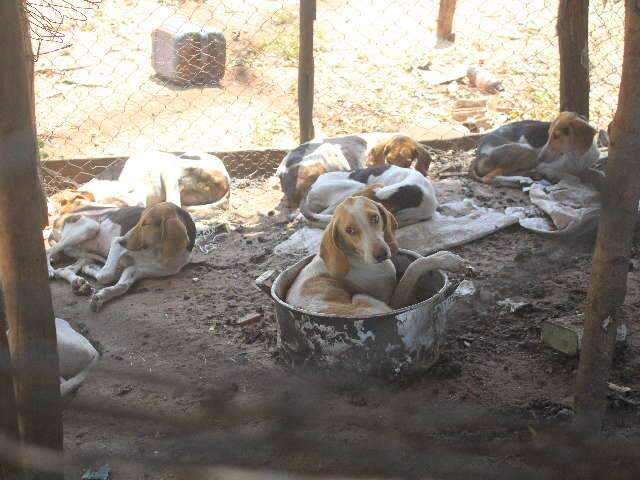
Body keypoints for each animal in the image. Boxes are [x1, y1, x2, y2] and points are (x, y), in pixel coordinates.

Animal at [47, 202, 195, 312]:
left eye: (146, 224)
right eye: (139, 220)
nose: (123, 240)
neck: (157, 251)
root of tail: (61, 215)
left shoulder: (136, 270)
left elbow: (122, 286)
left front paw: (101, 296)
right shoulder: (116, 245)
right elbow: (106, 275)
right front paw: (96, 272)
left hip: (86, 251)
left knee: (65, 269)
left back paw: (78, 282)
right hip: (90, 227)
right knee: (50, 251)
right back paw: (49, 270)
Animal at [284, 195, 470, 316]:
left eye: (375, 218)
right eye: (349, 230)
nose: (381, 254)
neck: (353, 256)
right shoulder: (394, 302)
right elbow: (414, 266)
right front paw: (446, 259)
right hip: (365, 298)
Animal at [470, 112, 600, 184]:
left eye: (557, 136)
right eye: (548, 134)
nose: (540, 158)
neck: (575, 155)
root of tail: (478, 154)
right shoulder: (547, 167)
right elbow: (573, 177)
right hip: (528, 150)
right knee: (489, 177)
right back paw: (522, 180)